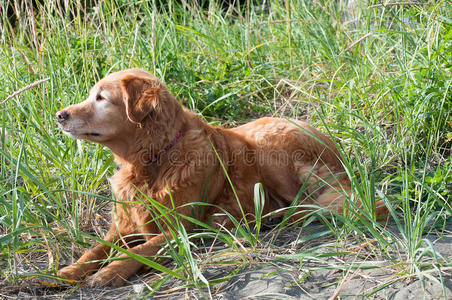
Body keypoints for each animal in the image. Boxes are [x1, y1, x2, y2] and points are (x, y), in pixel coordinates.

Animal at [55, 68, 388, 286]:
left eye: (101, 98)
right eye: (91, 95)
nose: (59, 115)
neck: (153, 160)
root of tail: (335, 148)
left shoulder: (180, 230)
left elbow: (139, 251)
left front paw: (108, 272)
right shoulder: (122, 228)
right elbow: (96, 249)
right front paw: (71, 271)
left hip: (266, 147)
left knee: (307, 204)